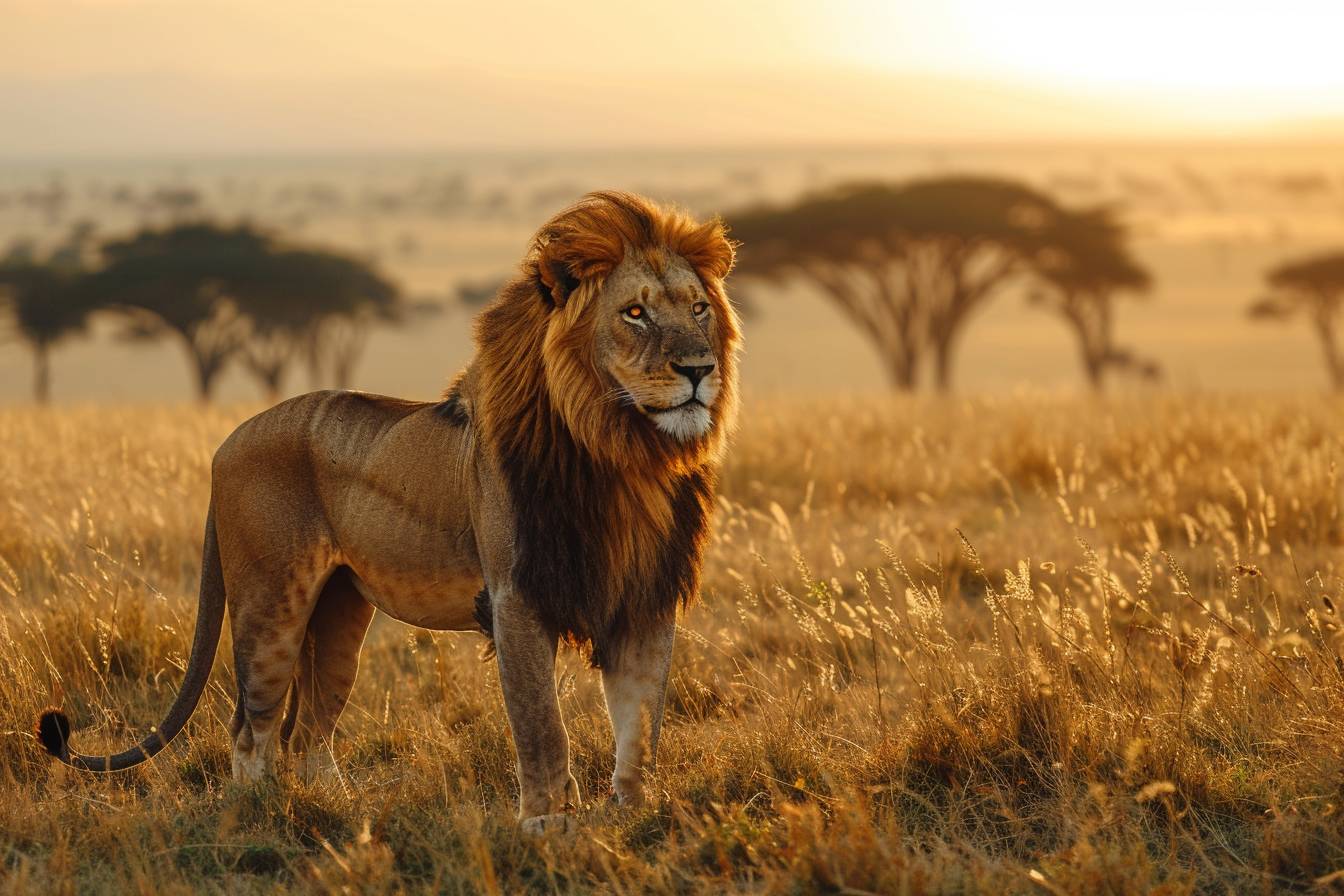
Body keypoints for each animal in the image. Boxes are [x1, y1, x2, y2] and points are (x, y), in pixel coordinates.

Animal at [37, 191, 741, 834]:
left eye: (699, 308)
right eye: (635, 313)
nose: (699, 369)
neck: (623, 454)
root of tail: (226, 442)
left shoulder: (645, 596)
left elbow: (640, 724)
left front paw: (635, 817)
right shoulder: (517, 598)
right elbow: (543, 727)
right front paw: (547, 828)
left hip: (340, 614)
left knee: (308, 732)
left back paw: (341, 813)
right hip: (271, 608)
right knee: (251, 728)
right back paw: (264, 817)